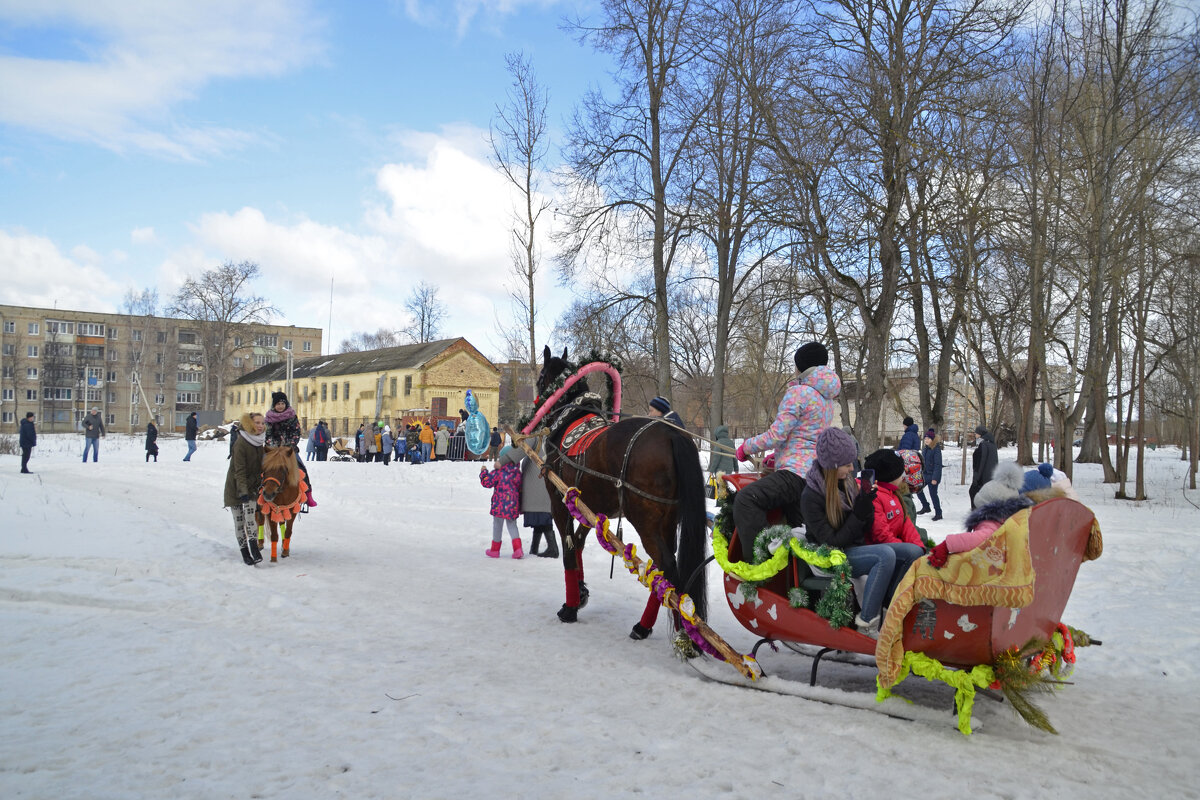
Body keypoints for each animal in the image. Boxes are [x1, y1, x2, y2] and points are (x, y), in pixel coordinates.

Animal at [532, 347, 700, 642]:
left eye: (542, 378)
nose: (537, 403)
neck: (570, 420)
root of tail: (671, 434)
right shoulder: (589, 507)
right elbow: (578, 545)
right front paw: (581, 593)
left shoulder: (560, 503)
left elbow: (568, 551)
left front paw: (570, 607)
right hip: (668, 520)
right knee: (663, 570)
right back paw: (649, 625)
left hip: (646, 522)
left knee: (667, 566)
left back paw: (679, 634)